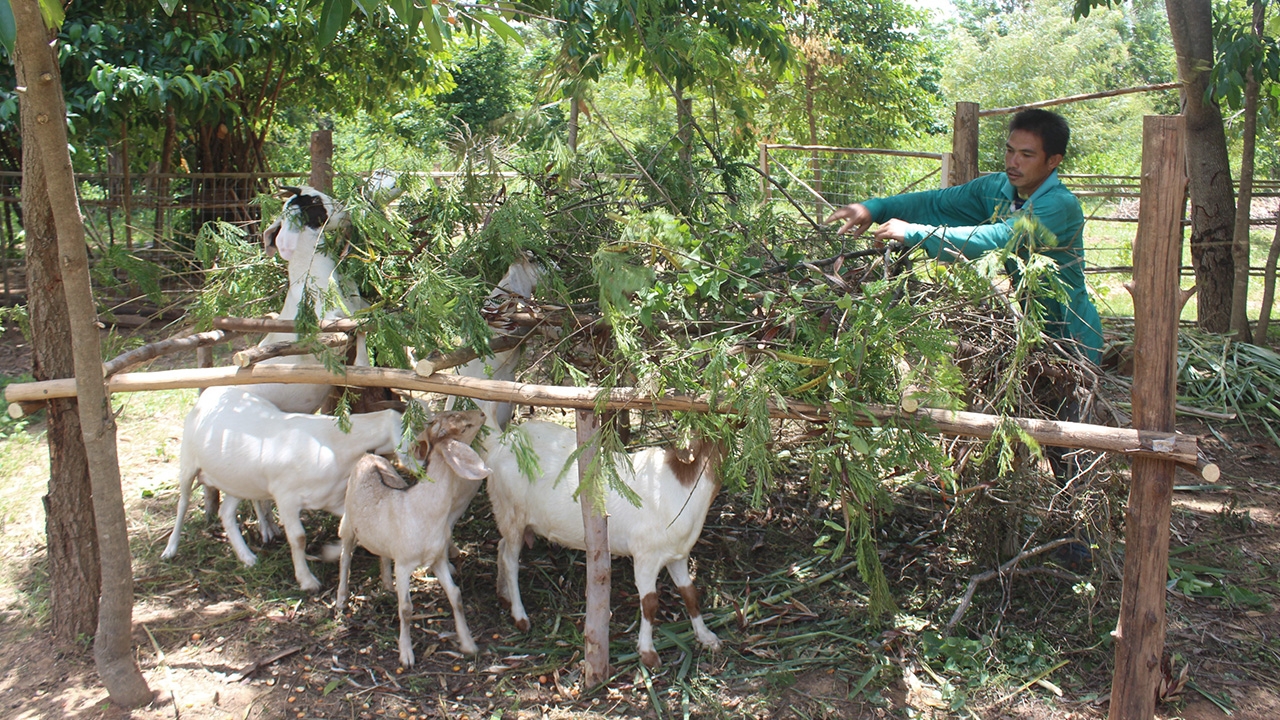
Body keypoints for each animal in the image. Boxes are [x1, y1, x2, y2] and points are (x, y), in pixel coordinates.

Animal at [163, 386, 404, 589]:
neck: (333, 443)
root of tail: (211, 392)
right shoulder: (286, 497)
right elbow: (298, 538)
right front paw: (307, 580)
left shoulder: (332, 497)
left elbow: (347, 526)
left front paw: (329, 552)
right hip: (188, 462)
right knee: (183, 503)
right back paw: (170, 549)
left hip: (239, 481)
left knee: (226, 512)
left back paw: (247, 557)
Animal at [335, 407, 488, 666]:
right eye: (459, 421)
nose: (481, 413)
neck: (422, 510)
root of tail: (369, 457)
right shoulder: (405, 564)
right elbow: (406, 608)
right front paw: (406, 655)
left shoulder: (437, 558)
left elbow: (456, 595)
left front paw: (468, 644)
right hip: (347, 522)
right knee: (345, 557)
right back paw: (341, 599)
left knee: (382, 553)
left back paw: (387, 584)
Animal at [483, 417, 727, 666]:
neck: (680, 489)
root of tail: (499, 443)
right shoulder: (645, 557)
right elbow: (650, 603)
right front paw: (648, 653)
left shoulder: (677, 555)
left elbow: (690, 593)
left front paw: (707, 636)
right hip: (511, 512)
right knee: (510, 560)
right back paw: (520, 617)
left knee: (502, 547)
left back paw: (504, 596)